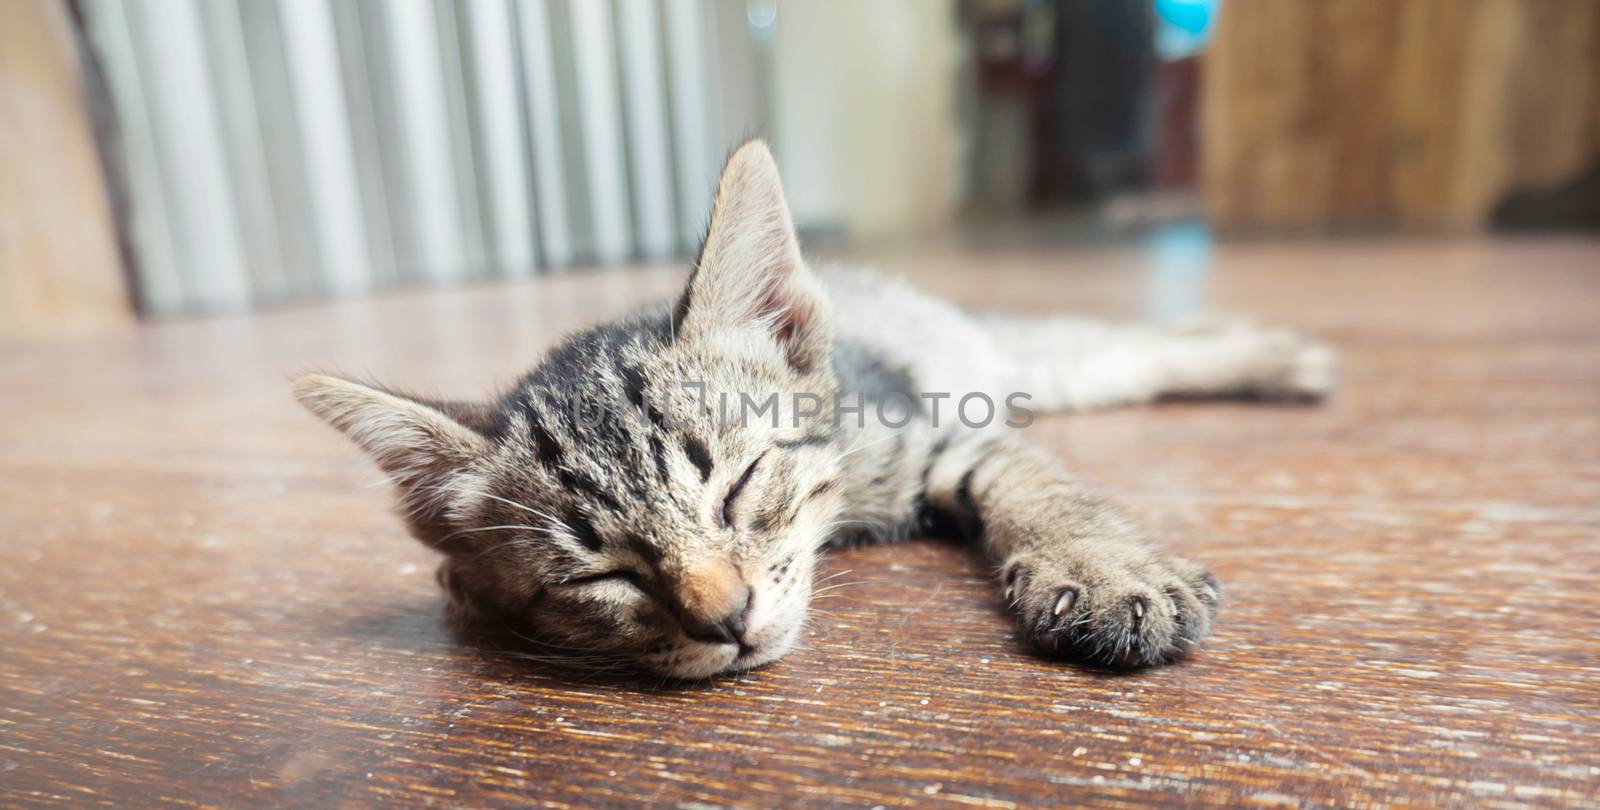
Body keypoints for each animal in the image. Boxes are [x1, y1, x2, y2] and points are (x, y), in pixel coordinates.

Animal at [294, 139, 1331, 675]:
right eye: (602, 575)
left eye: (740, 489)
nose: (725, 618)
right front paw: (463, 578)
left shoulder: (934, 431)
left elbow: (1039, 487)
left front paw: (1106, 570)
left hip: (1002, 361)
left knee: (1127, 347)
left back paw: (1278, 356)